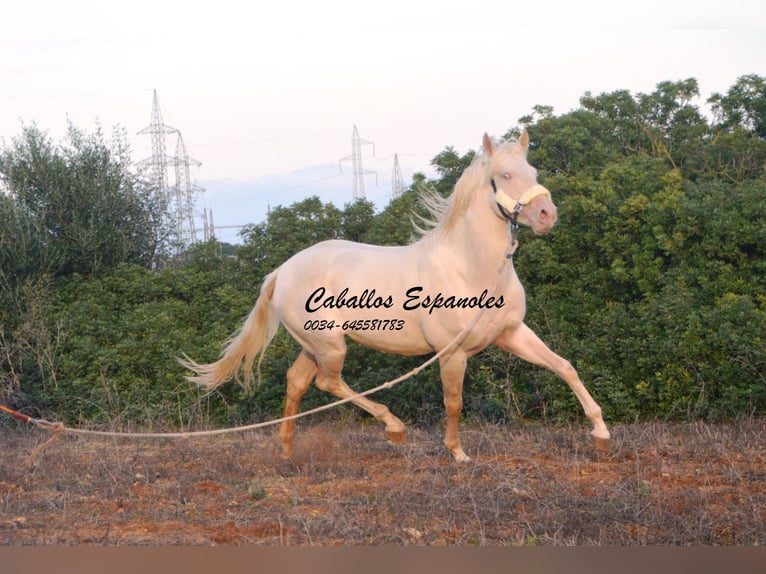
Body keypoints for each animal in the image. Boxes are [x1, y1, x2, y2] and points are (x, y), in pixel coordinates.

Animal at [184, 132, 612, 464]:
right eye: (503, 175)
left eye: (533, 173)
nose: (546, 215)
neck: (470, 267)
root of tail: (283, 271)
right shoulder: (452, 353)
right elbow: (454, 402)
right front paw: (457, 453)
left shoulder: (512, 334)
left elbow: (564, 367)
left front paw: (601, 432)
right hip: (331, 345)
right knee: (328, 383)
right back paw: (394, 428)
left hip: (315, 345)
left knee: (297, 381)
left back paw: (288, 450)